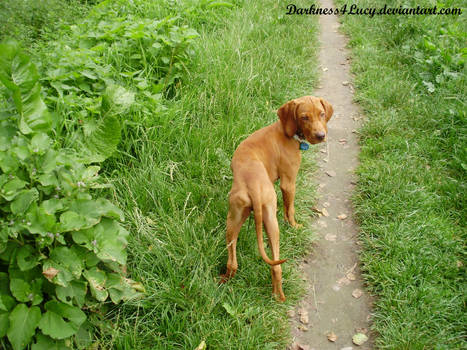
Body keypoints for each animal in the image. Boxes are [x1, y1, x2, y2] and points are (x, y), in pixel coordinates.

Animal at [221, 95, 334, 300]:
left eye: (322, 114)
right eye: (304, 117)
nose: (321, 135)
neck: (286, 131)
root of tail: (253, 186)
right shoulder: (288, 183)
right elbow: (290, 209)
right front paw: (294, 226)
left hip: (237, 218)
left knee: (235, 263)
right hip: (263, 219)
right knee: (276, 266)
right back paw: (279, 297)